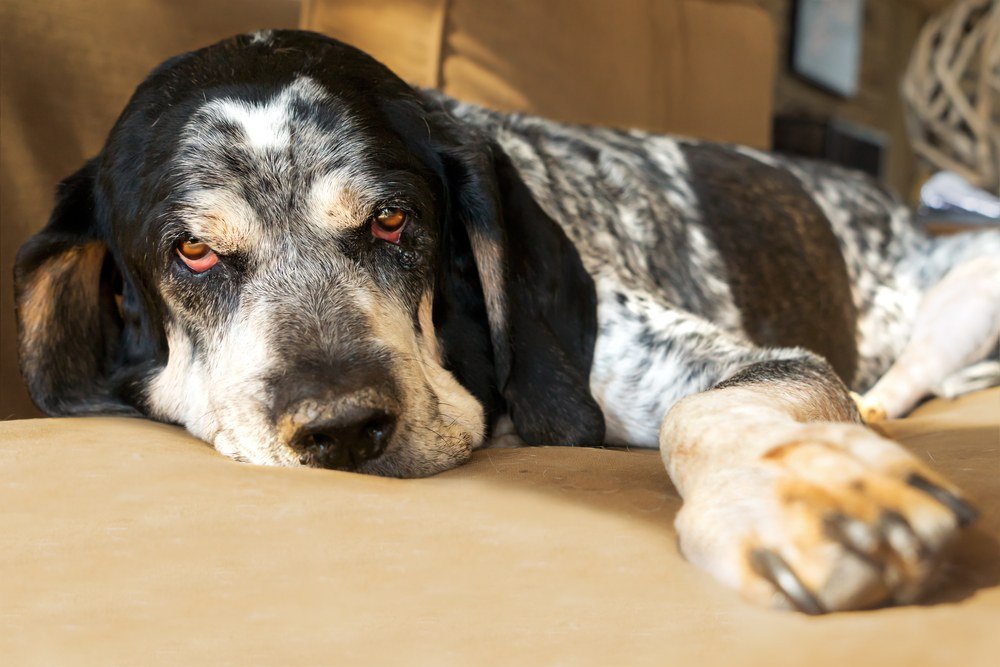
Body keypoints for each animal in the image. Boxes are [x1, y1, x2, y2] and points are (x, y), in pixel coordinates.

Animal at [15, 31, 1000, 616]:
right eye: (193, 252)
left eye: (392, 219)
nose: (344, 428)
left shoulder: (720, 362)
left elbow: (708, 409)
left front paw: (816, 490)